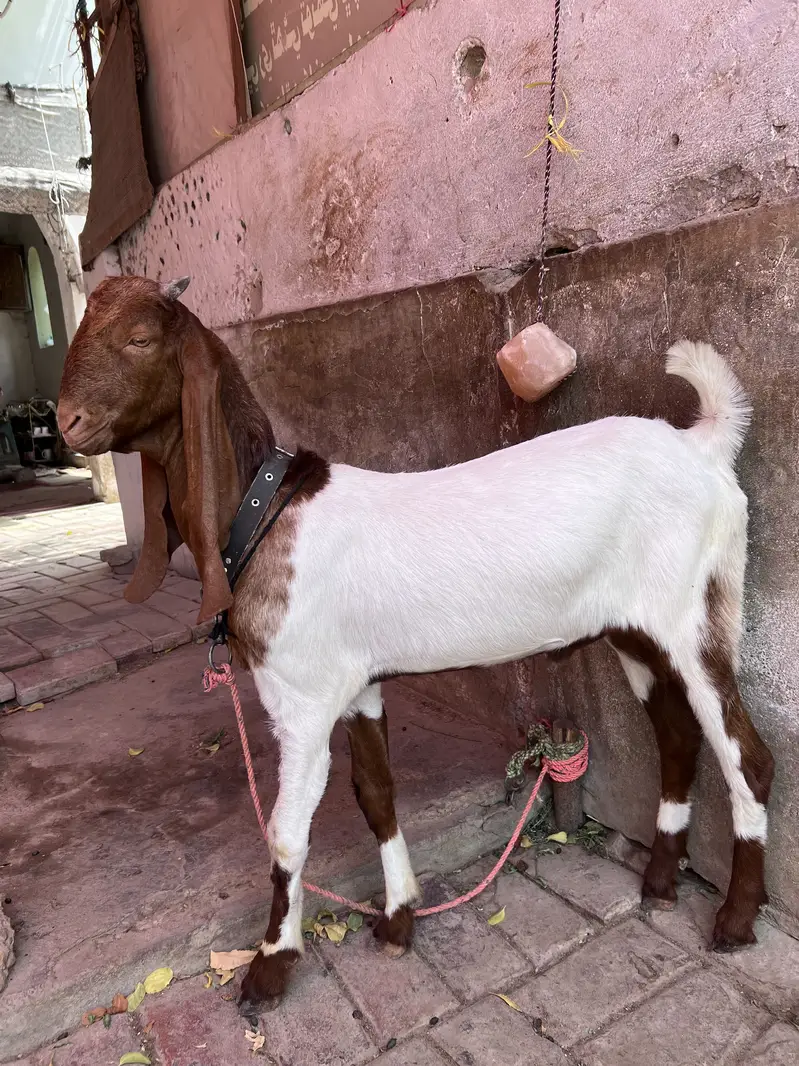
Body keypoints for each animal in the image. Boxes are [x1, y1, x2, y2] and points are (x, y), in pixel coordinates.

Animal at [58, 275, 774, 1010]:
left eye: (140, 338)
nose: (67, 423)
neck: (268, 512)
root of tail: (703, 446)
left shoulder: (302, 701)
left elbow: (285, 832)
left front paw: (271, 963)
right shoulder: (358, 686)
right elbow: (376, 794)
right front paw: (400, 917)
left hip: (691, 611)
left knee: (745, 755)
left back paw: (735, 917)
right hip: (634, 630)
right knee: (678, 736)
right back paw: (659, 882)